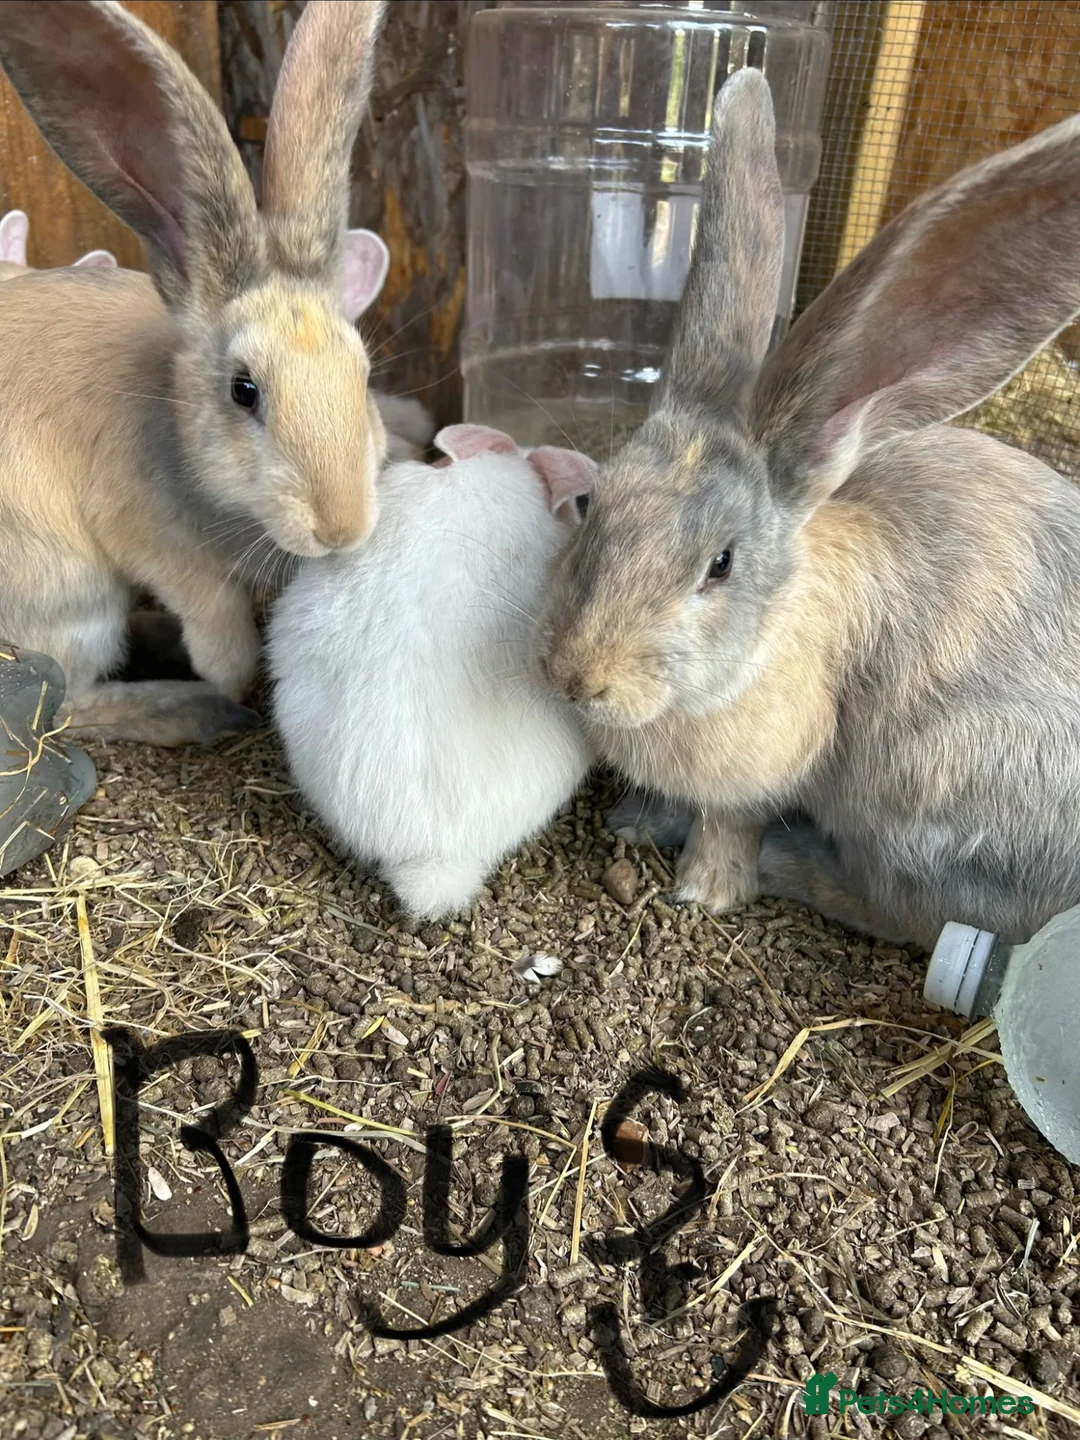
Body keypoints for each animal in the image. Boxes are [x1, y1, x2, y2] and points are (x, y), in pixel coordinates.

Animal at [0, 0, 387, 746]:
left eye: (363, 375)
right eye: (244, 391)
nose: (342, 529)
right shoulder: (162, 546)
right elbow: (220, 632)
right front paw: (233, 681)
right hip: (70, 595)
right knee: (61, 701)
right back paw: (193, 709)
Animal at [537, 66, 1080, 952]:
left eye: (721, 564)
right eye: (589, 502)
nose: (576, 677)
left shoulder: (764, 776)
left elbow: (732, 822)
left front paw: (706, 889)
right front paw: (636, 822)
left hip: (922, 796)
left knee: (914, 913)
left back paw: (791, 867)